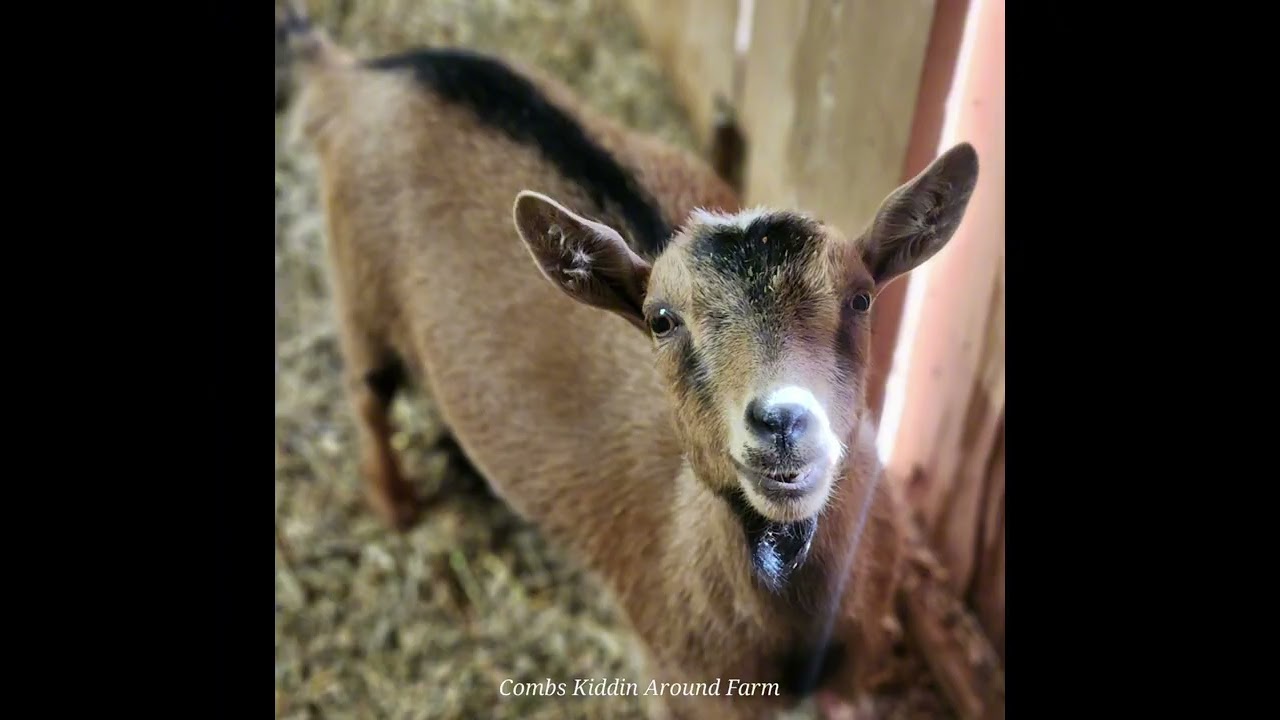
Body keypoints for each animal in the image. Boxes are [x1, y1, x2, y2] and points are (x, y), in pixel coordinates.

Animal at [280, 7, 978, 719]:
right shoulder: (680, 676)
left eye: (861, 297)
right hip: (359, 285)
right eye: (661, 320)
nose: (782, 421)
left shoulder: (857, 669)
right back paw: (395, 504)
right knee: (368, 393)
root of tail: (354, 73)